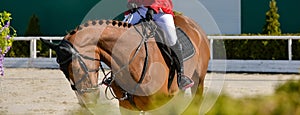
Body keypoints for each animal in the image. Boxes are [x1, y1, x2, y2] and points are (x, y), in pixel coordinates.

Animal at [41, 14, 210, 114]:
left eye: (77, 68)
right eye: (62, 71)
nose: (85, 102)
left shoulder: (158, 105)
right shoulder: (127, 108)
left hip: (198, 81)